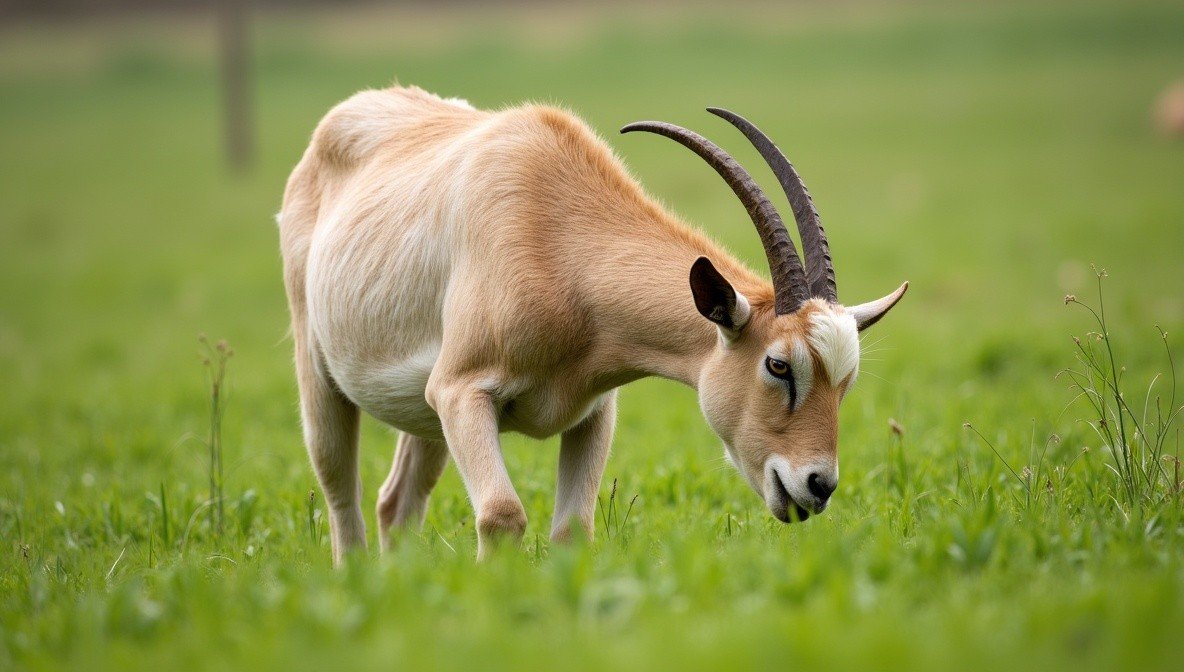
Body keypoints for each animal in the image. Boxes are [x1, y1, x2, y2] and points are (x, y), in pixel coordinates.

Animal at [278, 86, 907, 562]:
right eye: (778, 364)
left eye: (844, 381)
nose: (818, 486)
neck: (553, 236)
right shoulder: (461, 392)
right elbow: (502, 514)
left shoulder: (591, 414)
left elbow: (572, 530)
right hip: (329, 379)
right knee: (342, 493)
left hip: (424, 415)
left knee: (396, 502)